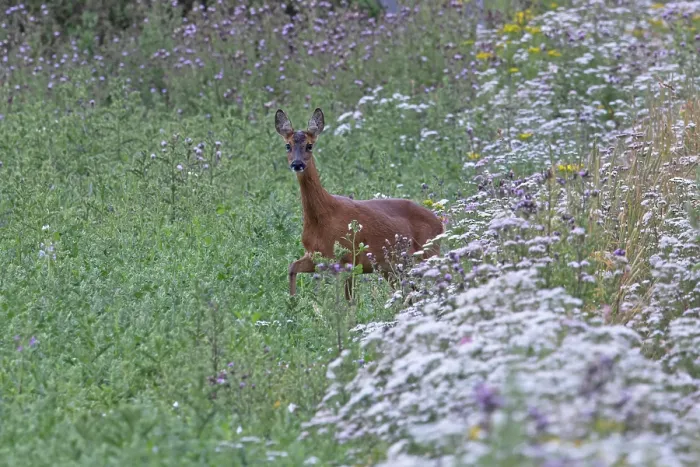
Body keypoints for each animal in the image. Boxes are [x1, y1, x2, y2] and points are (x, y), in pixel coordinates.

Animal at [275, 107, 444, 300]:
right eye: (287, 145)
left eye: (309, 145)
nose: (297, 164)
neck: (324, 216)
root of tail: (440, 222)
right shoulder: (315, 255)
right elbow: (292, 267)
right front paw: (293, 303)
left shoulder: (351, 258)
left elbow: (349, 301)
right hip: (394, 269)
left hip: (428, 254)